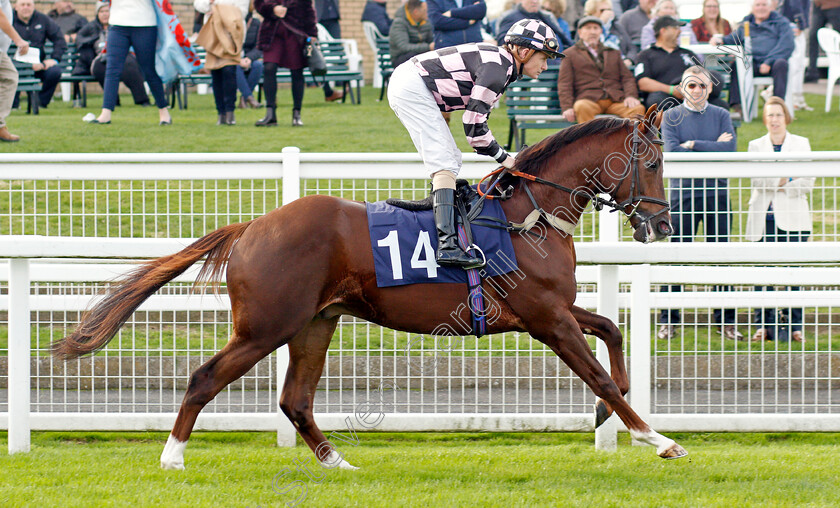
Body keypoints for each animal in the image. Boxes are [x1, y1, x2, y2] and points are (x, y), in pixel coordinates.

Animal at [54, 105, 684, 470]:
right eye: (653, 162)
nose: (662, 225)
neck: (527, 215)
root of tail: (252, 226)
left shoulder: (552, 309)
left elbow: (611, 332)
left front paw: (610, 416)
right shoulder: (545, 318)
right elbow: (599, 372)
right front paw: (657, 439)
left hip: (315, 323)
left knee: (295, 399)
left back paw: (338, 464)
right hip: (266, 327)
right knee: (205, 377)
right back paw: (172, 458)